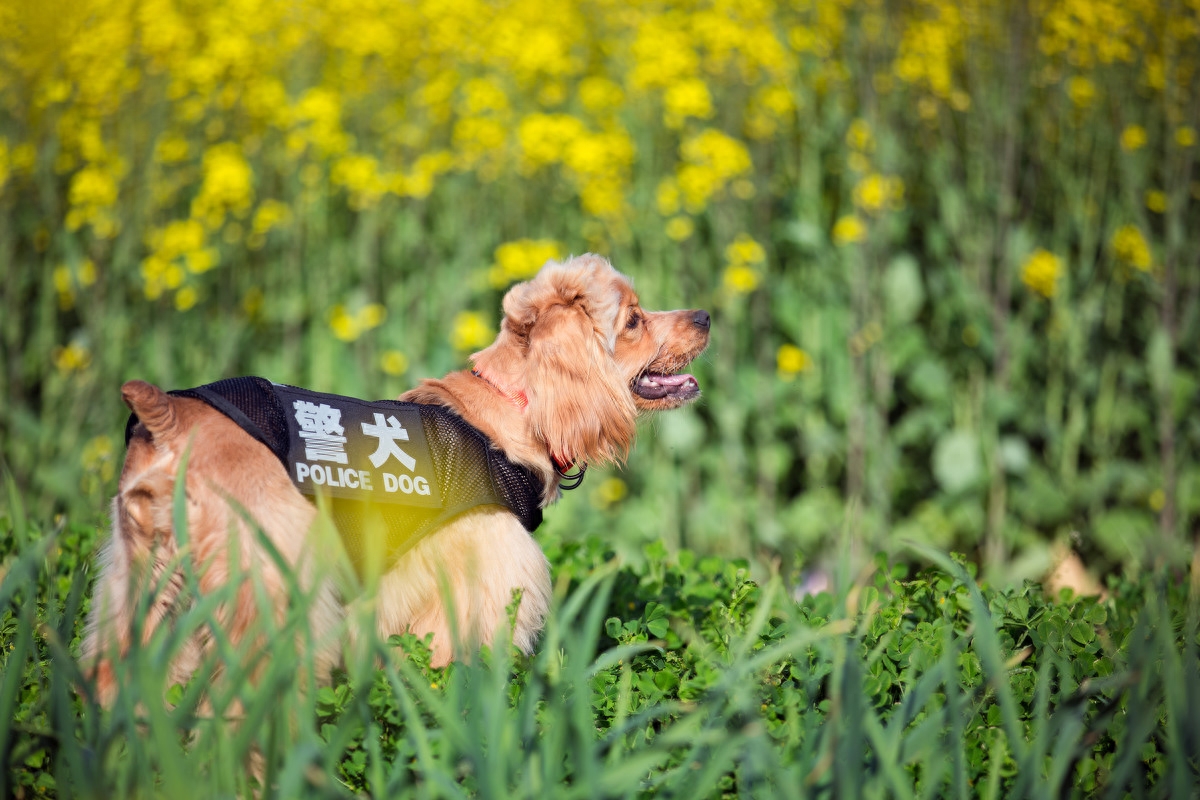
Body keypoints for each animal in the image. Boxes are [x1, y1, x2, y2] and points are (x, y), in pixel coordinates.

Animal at [82, 256, 710, 700]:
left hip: (141, 588)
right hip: (267, 590)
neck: (505, 415)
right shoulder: (470, 599)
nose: (705, 315)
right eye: (633, 320)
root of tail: (166, 422)